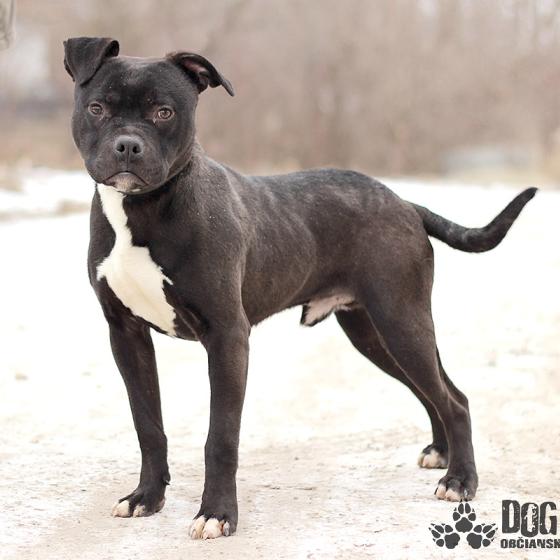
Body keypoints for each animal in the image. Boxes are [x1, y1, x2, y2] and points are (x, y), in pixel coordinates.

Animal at [63, 36, 536, 540]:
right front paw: (146, 498)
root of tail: (404, 202)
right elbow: (148, 425)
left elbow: (220, 437)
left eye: (164, 112)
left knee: (454, 399)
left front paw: (217, 514)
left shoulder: (227, 337)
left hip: (401, 320)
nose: (127, 145)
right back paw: (442, 455)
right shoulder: (126, 335)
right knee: (434, 390)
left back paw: (461, 480)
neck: (145, 208)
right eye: (97, 108)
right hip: (374, 333)